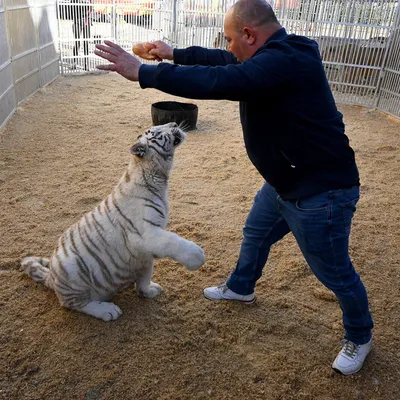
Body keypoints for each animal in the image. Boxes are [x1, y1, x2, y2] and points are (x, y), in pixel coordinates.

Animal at [20, 122, 205, 322]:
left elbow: (145, 275)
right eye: (156, 131)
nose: (173, 123)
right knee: (73, 303)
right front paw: (197, 257)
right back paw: (107, 310)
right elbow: (174, 241)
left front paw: (147, 291)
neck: (157, 175)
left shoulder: (144, 254)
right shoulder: (146, 233)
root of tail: (51, 277)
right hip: (72, 272)